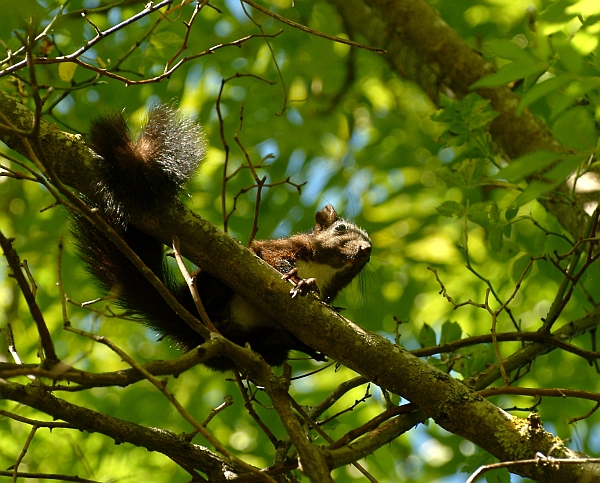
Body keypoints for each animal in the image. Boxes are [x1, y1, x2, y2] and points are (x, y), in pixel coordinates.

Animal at [70, 104, 370, 372]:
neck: (324, 267)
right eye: (340, 228)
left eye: (371, 248)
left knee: (273, 346)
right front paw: (298, 280)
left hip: (258, 340)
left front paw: (332, 307)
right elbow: (274, 259)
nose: (366, 249)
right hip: (213, 284)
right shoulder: (282, 248)